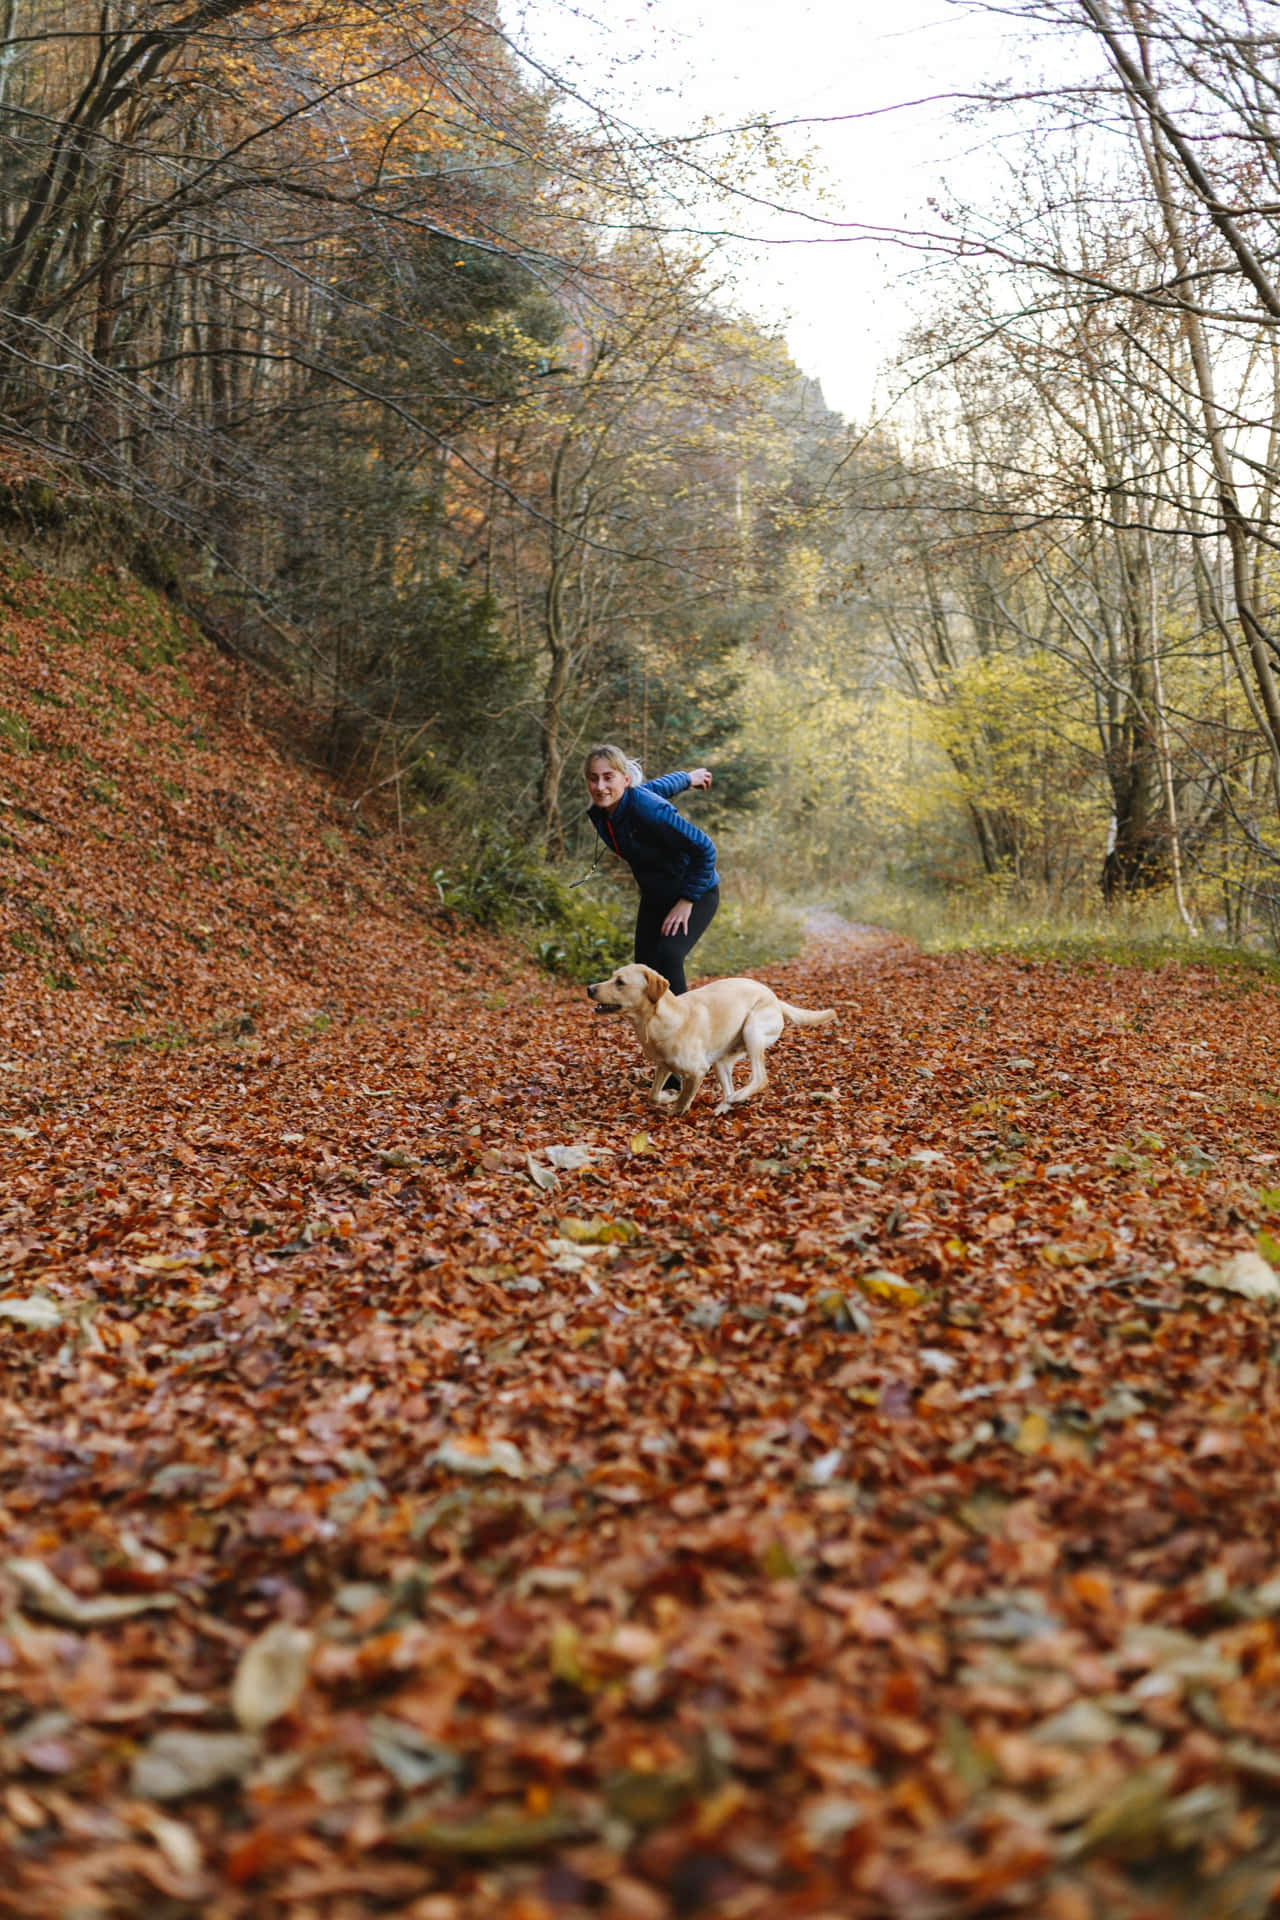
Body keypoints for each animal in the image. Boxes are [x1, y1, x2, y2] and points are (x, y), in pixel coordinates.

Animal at [587, 967, 836, 1121]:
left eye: (620, 982)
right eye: (612, 977)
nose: (589, 988)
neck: (657, 1020)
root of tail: (775, 998)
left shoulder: (697, 1070)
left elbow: (683, 1099)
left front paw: (675, 1110)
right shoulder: (663, 1066)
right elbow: (653, 1095)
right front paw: (668, 1097)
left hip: (752, 1030)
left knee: (760, 1078)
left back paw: (737, 1097)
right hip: (722, 1061)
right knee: (730, 1086)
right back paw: (726, 1104)